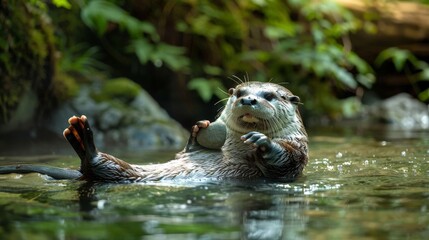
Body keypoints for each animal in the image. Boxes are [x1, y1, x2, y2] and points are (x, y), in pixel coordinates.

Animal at [0, 81, 308, 181]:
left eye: (269, 95)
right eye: (240, 92)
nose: (249, 100)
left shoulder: (298, 150)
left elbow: (286, 161)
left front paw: (263, 141)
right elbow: (192, 148)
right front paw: (200, 128)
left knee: (97, 166)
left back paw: (81, 137)